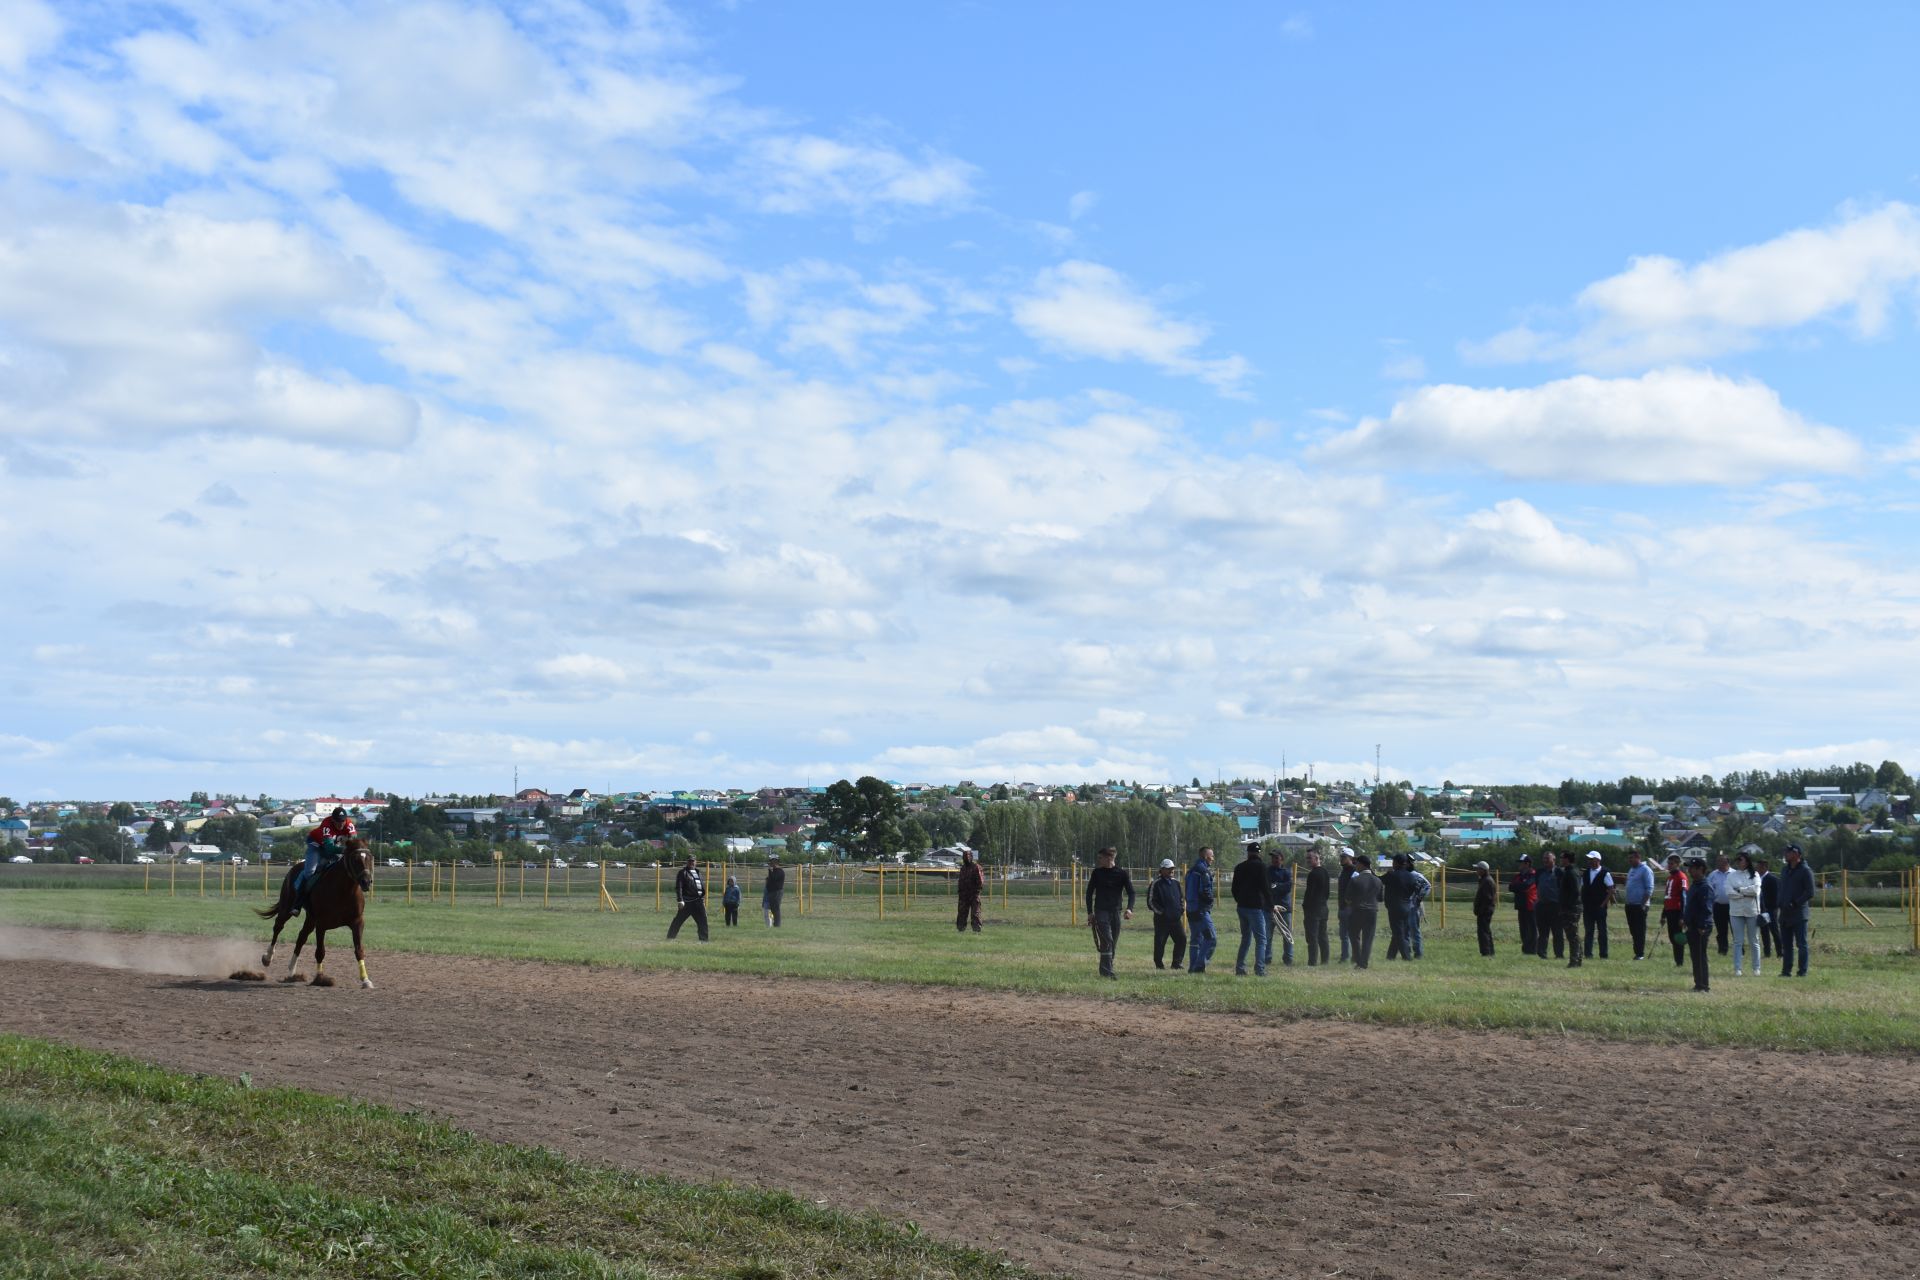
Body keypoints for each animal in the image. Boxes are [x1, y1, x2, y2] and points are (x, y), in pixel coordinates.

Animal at [255, 840, 374, 990]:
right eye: (355, 859)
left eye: (370, 858)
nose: (366, 881)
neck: (343, 891)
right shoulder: (321, 924)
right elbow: (320, 952)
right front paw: (320, 978)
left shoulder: (357, 922)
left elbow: (359, 950)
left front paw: (366, 980)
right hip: (286, 908)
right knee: (278, 927)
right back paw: (268, 958)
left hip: (310, 919)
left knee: (301, 937)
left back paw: (292, 970)